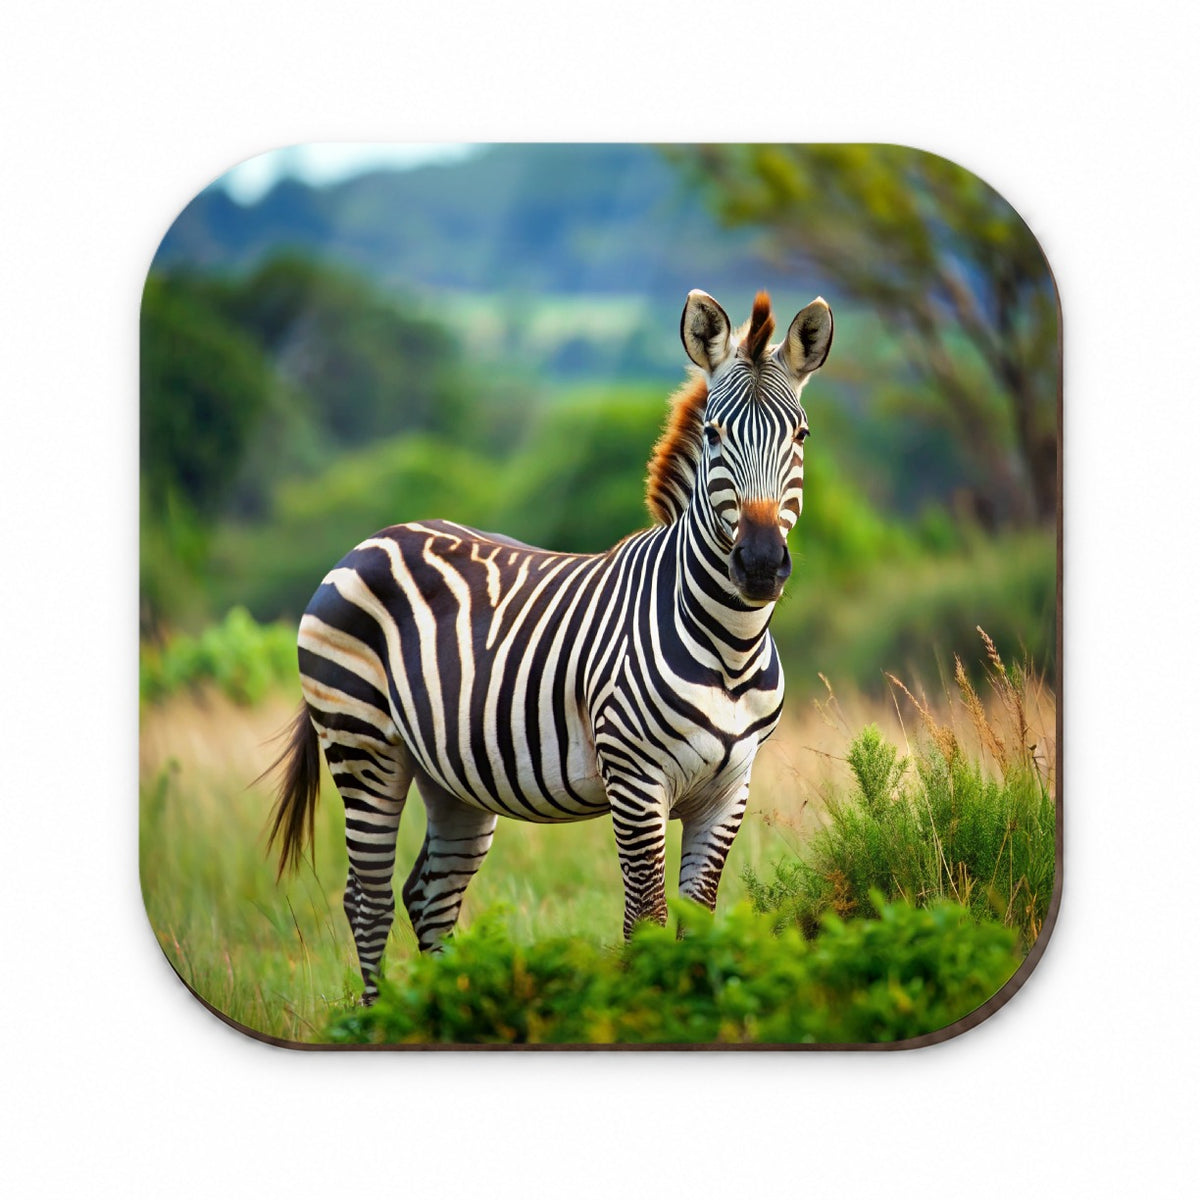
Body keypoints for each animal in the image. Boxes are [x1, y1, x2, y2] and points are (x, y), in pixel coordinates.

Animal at [269, 288, 833, 1003]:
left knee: (429, 896)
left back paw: (445, 1011)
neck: (729, 647)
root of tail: (370, 540)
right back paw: (379, 1019)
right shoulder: (635, 780)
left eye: (801, 435)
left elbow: (697, 921)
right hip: (363, 745)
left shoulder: (730, 787)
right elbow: (645, 921)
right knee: (365, 900)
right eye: (712, 435)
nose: (759, 565)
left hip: (450, 775)